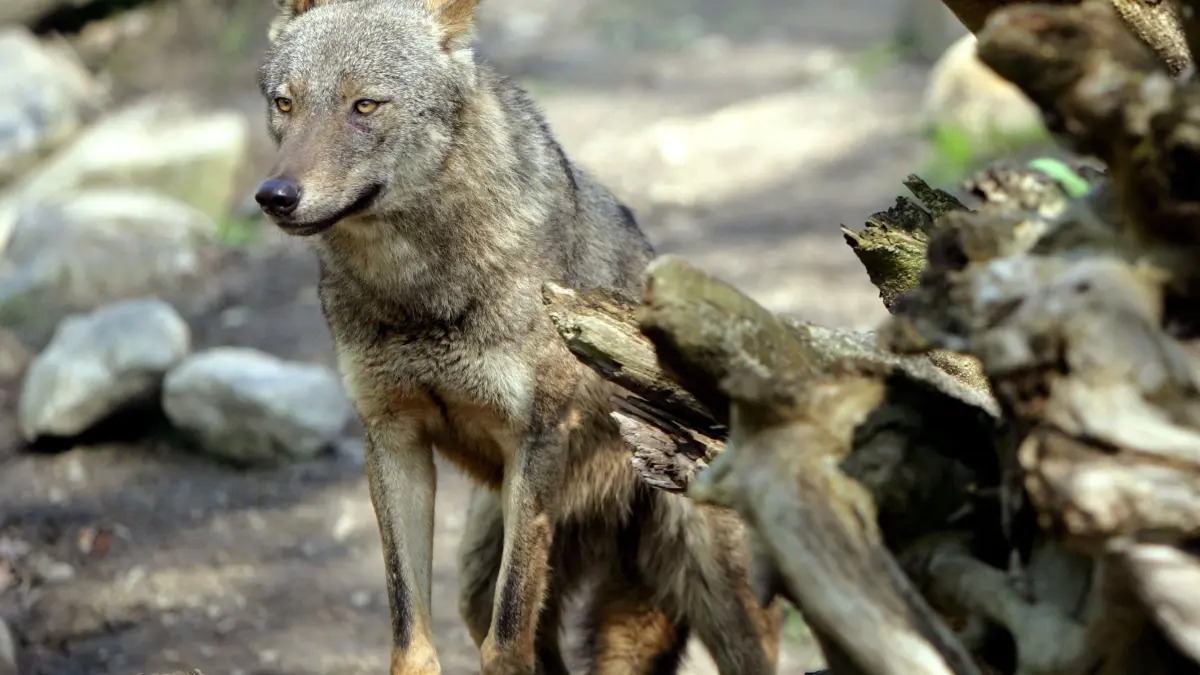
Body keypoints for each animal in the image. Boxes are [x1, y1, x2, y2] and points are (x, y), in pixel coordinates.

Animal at [255, 0, 783, 673]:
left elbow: (505, 645)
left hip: (729, 603)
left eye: (365, 105)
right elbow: (410, 635)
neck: (419, 291)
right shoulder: (393, 440)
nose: (273, 196)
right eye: (286, 103)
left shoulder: (538, 438)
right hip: (482, 572)